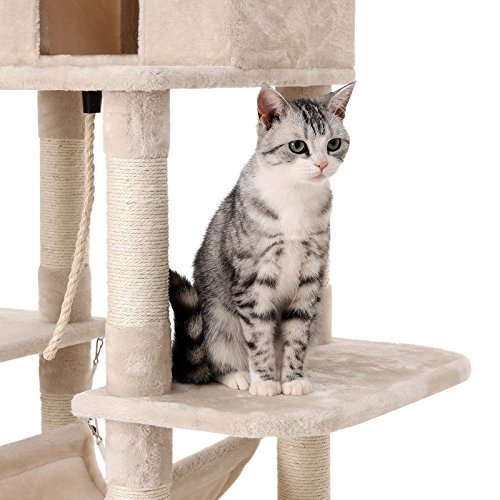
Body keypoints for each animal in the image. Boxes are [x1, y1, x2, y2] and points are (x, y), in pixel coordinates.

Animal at [170, 82, 354, 396]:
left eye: (333, 144)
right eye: (297, 146)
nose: (321, 164)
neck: (295, 198)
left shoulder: (311, 274)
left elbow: (297, 333)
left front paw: (291, 379)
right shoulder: (253, 277)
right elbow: (258, 334)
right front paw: (266, 381)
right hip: (217, 319)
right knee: (216, 360)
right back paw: (237, 375)